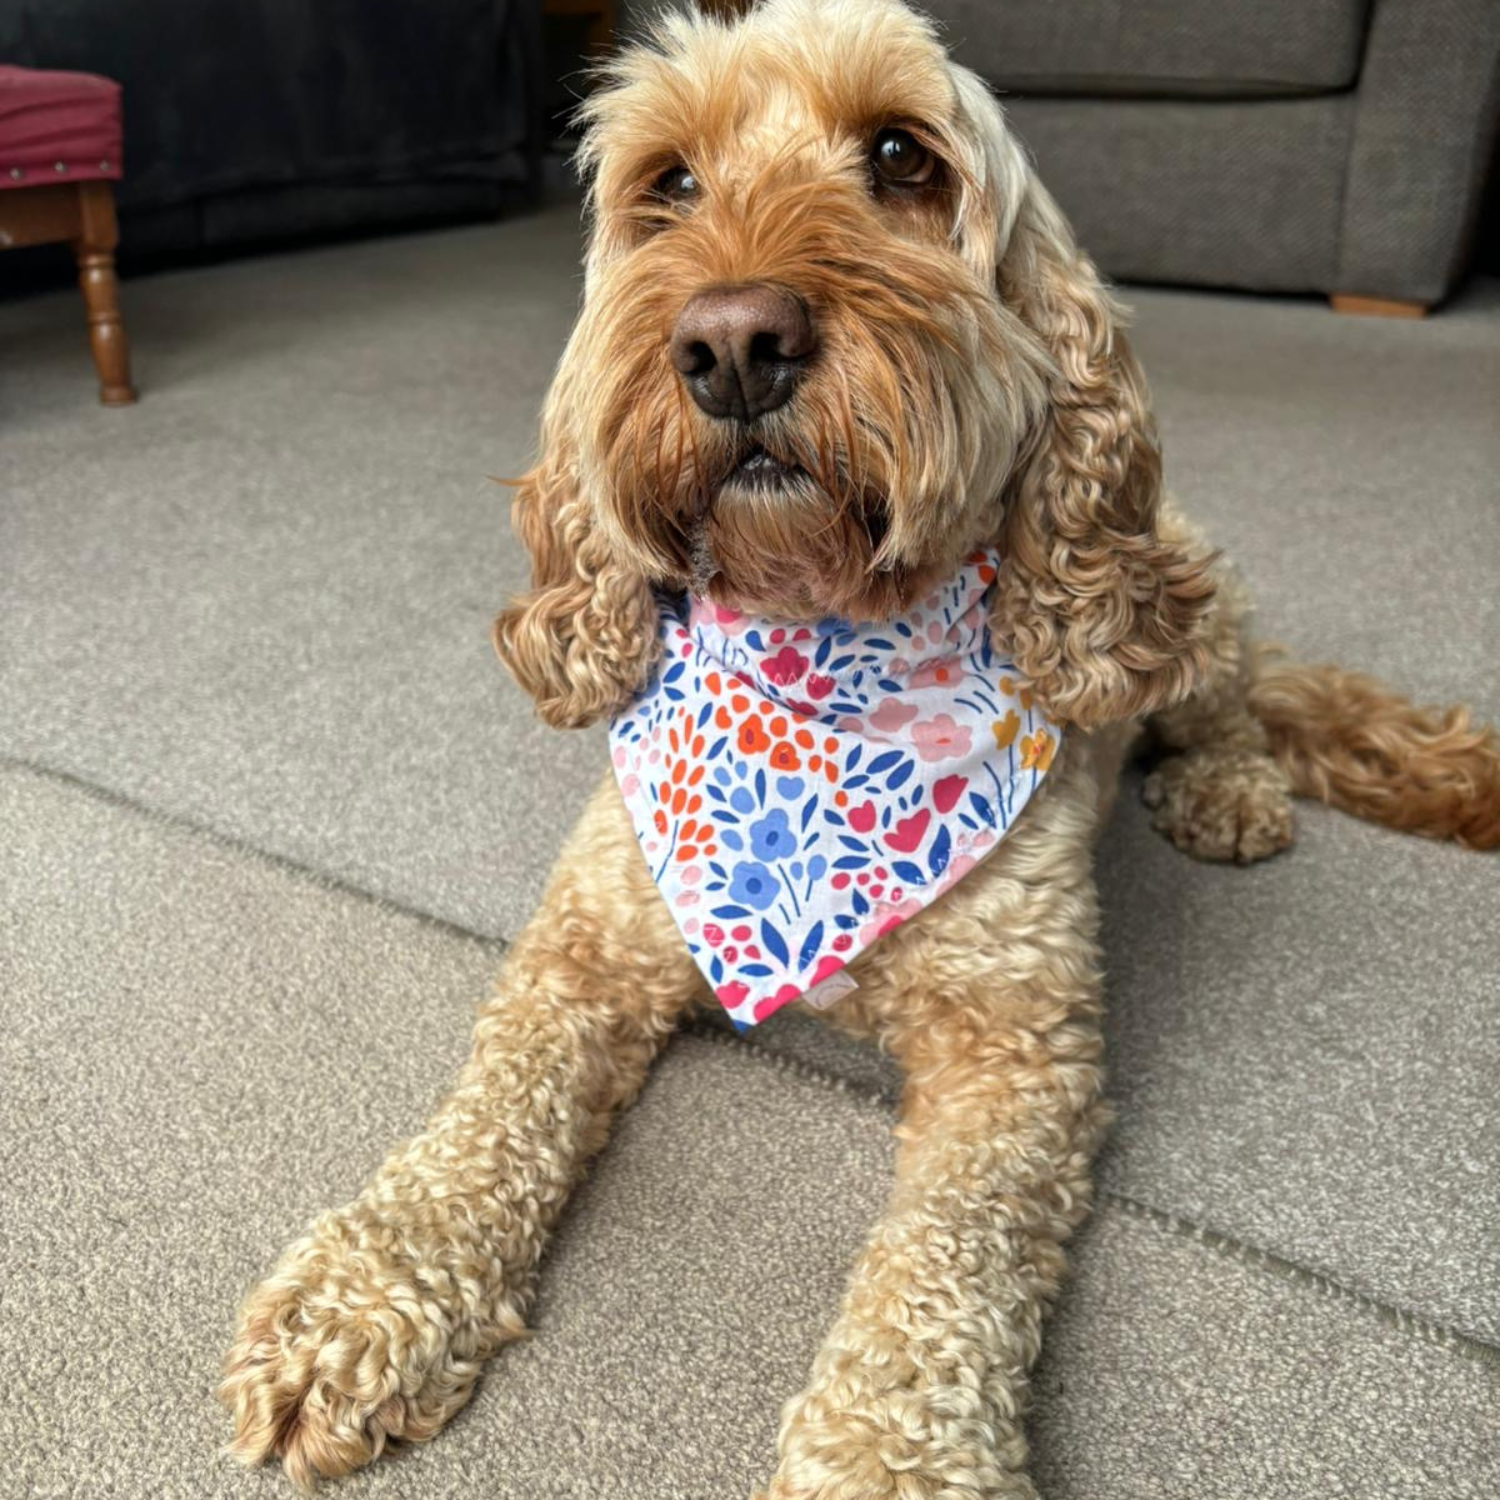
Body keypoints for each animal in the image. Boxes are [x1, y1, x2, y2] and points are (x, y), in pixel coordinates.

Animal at [219, 2, 1500, 1488]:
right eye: (667, 183)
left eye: (902, 157)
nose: (733, 341)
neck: (818, 658)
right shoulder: (587, 945)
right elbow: (491, 1108)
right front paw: (367, 1296)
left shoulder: (1020, 1052)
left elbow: (943, 1272)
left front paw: (889, 1459)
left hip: (1187, 594)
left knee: (1230, 700)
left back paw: (1227, 794)